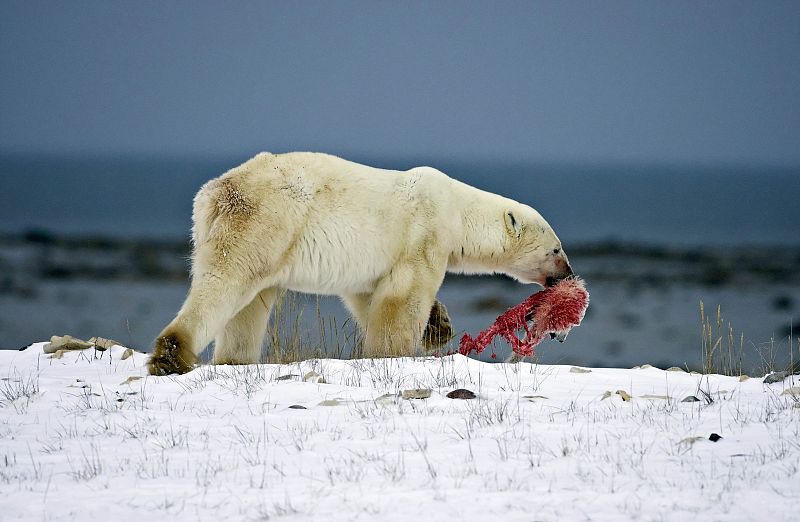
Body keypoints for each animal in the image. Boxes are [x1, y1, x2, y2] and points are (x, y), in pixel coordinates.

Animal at [147, 150, 572, 374]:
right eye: (556, 249)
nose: (567, 274)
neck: (457, 208)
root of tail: (214, 193)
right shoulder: (424, 232)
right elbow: (404, 297)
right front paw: (396, 352)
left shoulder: (374, 262)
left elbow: (368, 296)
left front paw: (439, 326)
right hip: (266, 221)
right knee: (226, 283)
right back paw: (171, 355)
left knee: (249, 305)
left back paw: (234, 360)